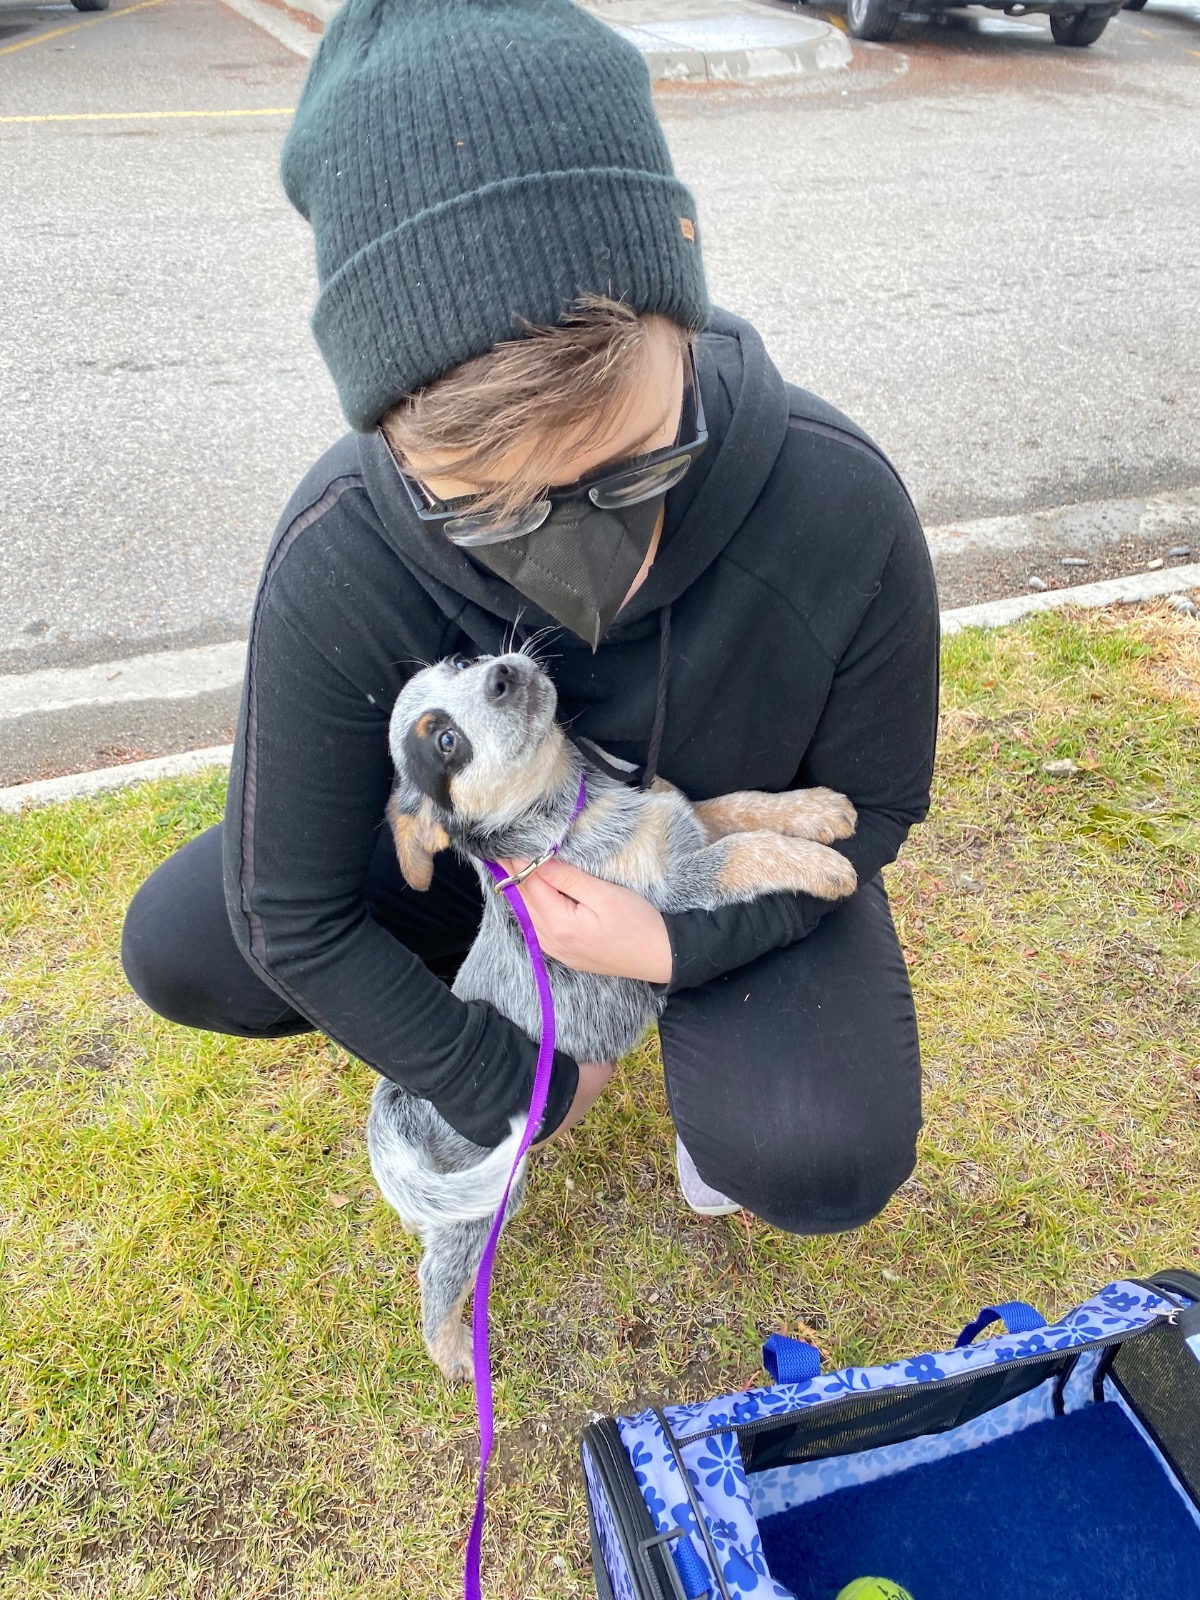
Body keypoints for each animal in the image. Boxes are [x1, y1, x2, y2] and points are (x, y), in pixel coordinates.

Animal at [366, 649, 857, 1376]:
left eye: (462, 660)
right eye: (445, 741)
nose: (502, 671)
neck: (576, 807)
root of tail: (403, 1096)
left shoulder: (687, 818)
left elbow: (737, 805)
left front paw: (816, 808)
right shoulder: (674, 890)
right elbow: (743, 851)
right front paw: (821, 866)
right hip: (483, 1202)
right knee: (438, 1275)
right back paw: (453, 1353)